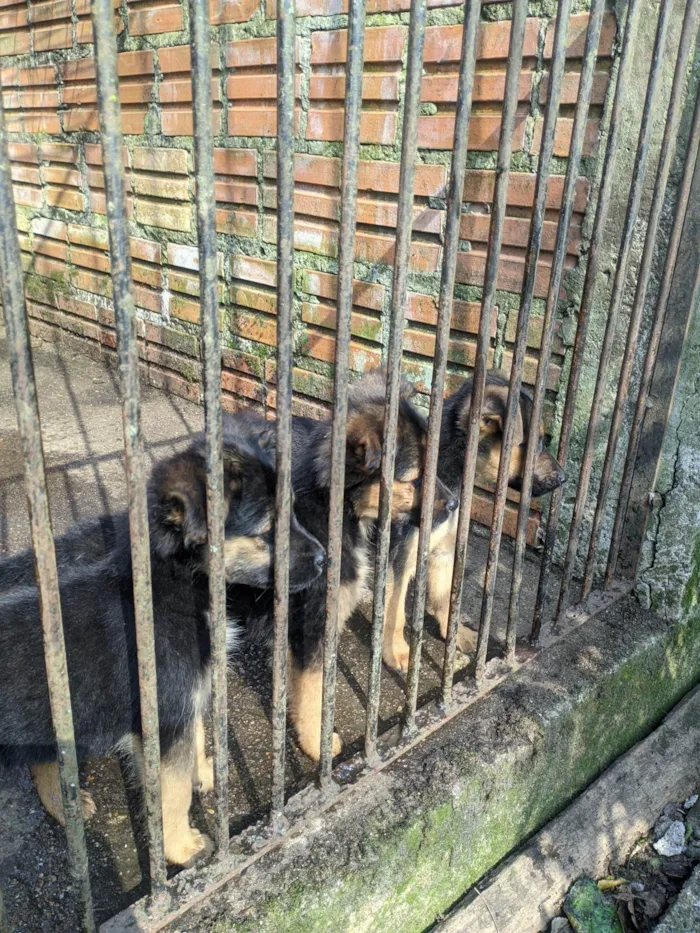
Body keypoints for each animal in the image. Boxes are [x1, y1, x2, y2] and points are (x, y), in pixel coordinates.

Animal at [0, 418, 322, 864]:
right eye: (267, 530)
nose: (326, 559)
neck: (176, 584)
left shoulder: (189, 695)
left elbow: (197, 740)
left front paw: (204, 774)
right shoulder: (165, 715)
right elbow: (172, 789)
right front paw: (182, 847)